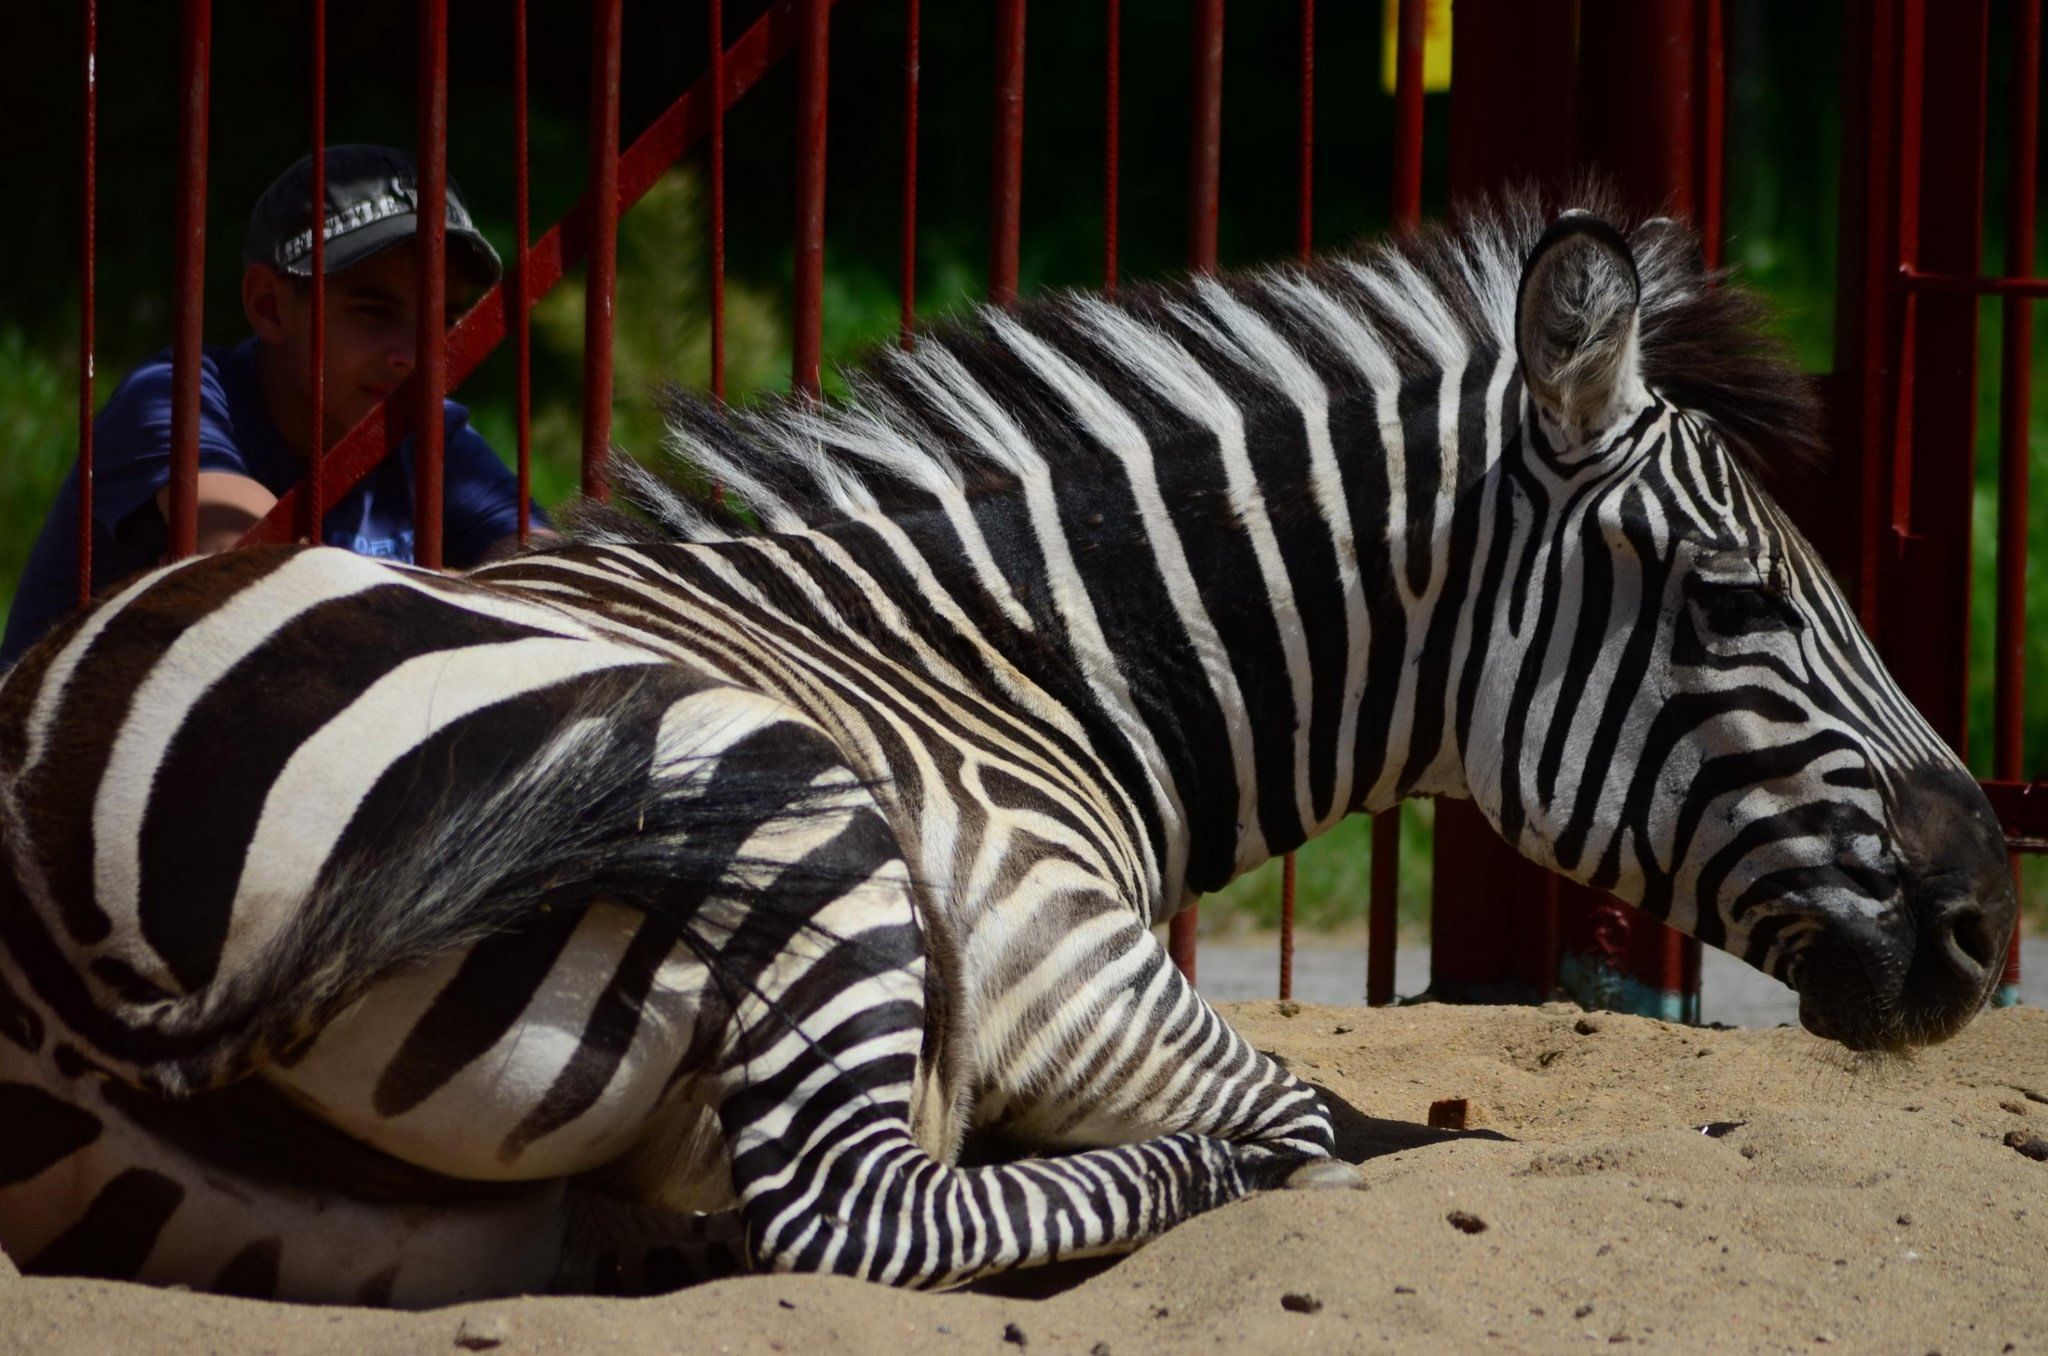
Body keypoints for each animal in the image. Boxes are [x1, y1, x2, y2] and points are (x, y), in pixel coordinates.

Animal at [0, 191, 2015, 1310]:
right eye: (1729, 600)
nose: (1993, 923)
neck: (1011, 660)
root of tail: (56, 858)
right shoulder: (1060, 956)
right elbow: (1320, 1119)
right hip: (793, 823)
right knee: (855, 1217)